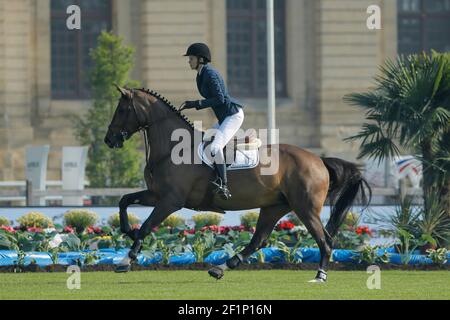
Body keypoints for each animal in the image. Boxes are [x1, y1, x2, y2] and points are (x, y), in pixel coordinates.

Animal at [103, 85, 370, 282]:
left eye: (122, 109)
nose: (109, 139)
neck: (172, 148)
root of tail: (318, 160)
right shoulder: (157, 195)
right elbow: (124, 201)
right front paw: (127, 231)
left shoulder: (171, 201)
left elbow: (147, 226)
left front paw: (127, 260)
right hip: (274, 206)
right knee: (259, 240)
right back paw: (221, 267)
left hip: (305, 208)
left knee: (325, 240)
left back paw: (320, 275)